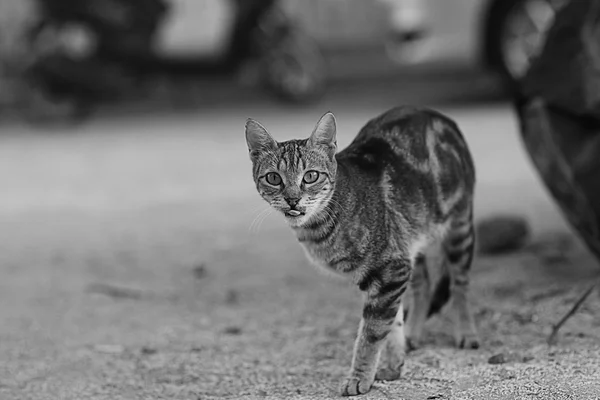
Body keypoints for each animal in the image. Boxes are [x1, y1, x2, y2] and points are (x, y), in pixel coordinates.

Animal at [244, 107, 478, 396]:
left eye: (310, 176)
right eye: (274, 178)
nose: (292, 199)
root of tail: (439, 115)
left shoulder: (389, 271)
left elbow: (371, 333)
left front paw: (360, 377)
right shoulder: (389, 271)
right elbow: (392, 322)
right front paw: (394, 364)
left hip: (459, 229)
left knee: (460, 284)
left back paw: (466, 332)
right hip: (414, 241)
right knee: (423, 286)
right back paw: (413, 334)